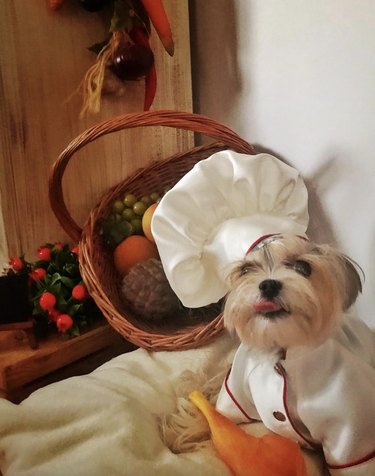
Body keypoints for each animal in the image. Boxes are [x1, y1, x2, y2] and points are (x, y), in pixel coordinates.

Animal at [217, 235, 375, 476]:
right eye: (245, 270)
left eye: (302, 267)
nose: (268, 284)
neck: (283, 353)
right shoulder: (237, 386)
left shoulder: (350, 431)